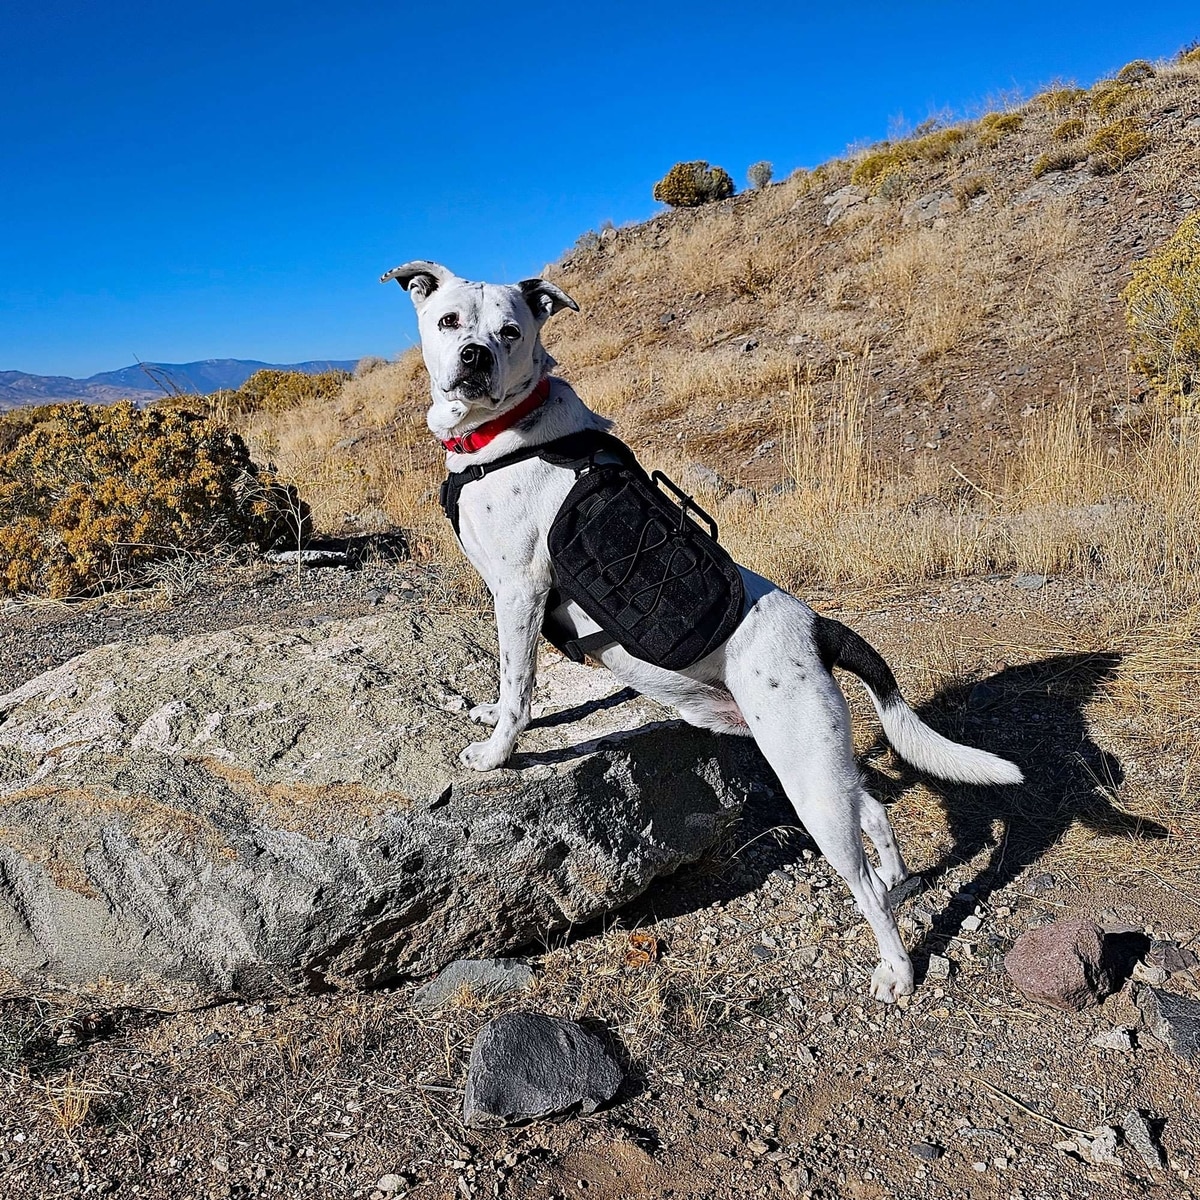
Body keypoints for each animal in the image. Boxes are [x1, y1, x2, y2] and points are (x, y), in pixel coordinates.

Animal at [383, 260, 1023, 1002]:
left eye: (509, 331)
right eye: (450, 320)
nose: (475, 358)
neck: (506, 434)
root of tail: (818, 627)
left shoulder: (520, 591)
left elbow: (519, 687)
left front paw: (495, 752)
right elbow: (509, 684)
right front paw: (486, 713)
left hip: (806, 776)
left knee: (862, 882)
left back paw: (897, 967)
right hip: (815, 761)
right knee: (873, 811)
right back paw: (898, 878)